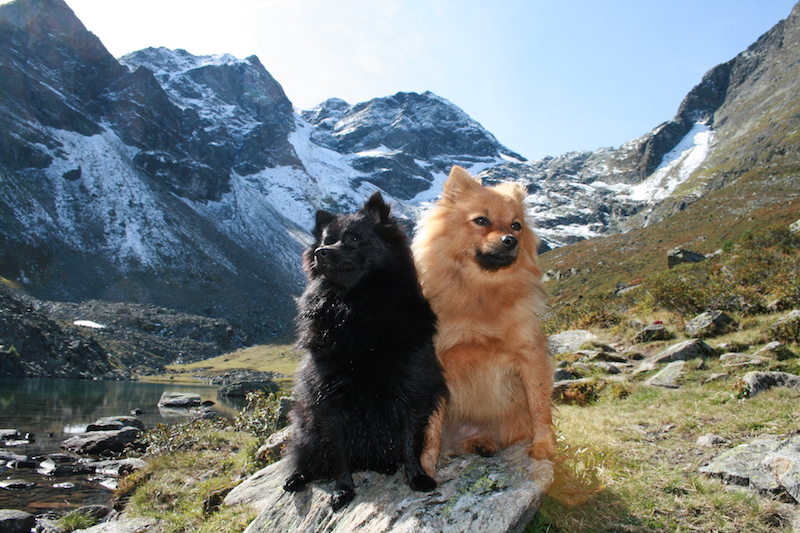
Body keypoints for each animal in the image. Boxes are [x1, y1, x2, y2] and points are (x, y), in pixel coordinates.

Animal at [282, 192, 446, 512]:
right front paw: (342, 490)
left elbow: (410, 439)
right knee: (303, 456)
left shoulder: (411, 387)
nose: (320, 252)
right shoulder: (330, 396)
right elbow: (339, 451)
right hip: (306, 427)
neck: (356, 307)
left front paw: (417, 476)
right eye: (327, 239)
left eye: (354, 238)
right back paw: (296, 478)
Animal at [410, 164, 552, 472]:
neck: (480, 294)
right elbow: (432, 429)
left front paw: (544, 445)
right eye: (481, 220)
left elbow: (539, 405)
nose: (510, 240)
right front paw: (427, 466)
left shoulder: (530, 355)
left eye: (516, 225)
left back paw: (483, 443)